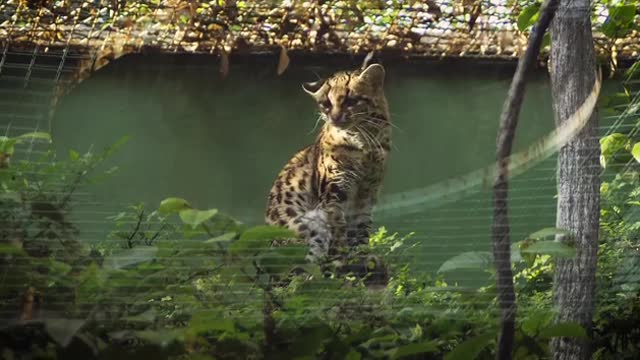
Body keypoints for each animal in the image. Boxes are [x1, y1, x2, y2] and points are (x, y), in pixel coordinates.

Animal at [264, 62, 390, 262]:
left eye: (351, 101)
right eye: (326, 104)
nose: (335, 118)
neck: (364, 144)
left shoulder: (367, 194)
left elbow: (361, 230)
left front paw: (362, 256)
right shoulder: (333, 191)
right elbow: (338, 226)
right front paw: (342, 257)